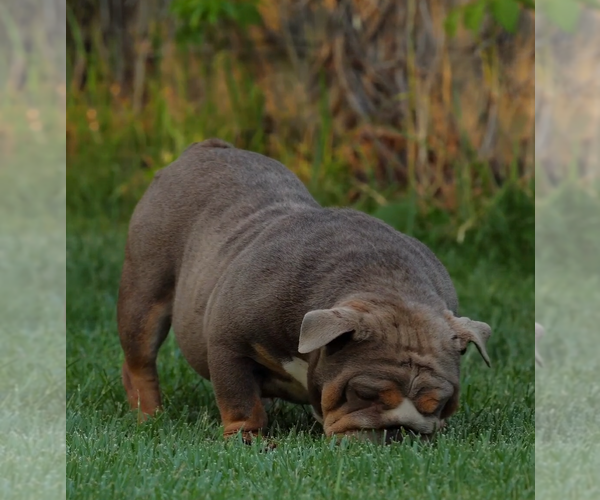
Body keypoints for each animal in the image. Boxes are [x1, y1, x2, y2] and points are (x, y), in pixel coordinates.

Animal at [117, 139, 492, 444]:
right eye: (364, 393)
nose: (400, 431)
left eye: (439, 403)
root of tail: (205, 148)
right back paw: (148, 415)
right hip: (144, 294)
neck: (387, 286)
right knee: (140, 361)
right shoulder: (228, 345)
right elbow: (240, 399)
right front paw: (247, 438)